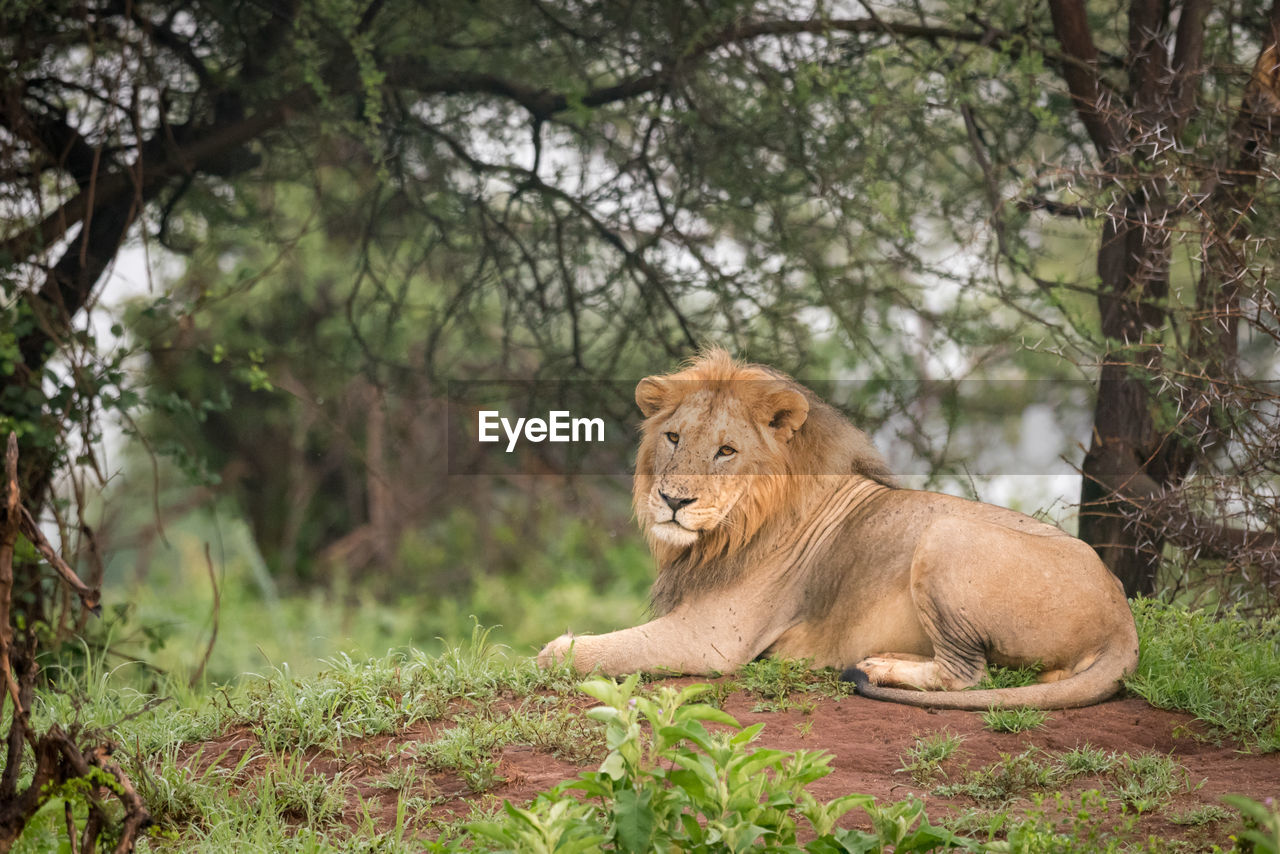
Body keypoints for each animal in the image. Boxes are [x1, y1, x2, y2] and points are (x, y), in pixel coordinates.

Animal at [535, 350, 1136, 711]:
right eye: (674, 438)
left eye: (727, 451)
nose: (673, 500)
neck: (733, 528)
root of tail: (1123, 619)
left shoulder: (710, 640)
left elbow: (570, 652)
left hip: (946, 535)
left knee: (967, 675)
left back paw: (879, 667)